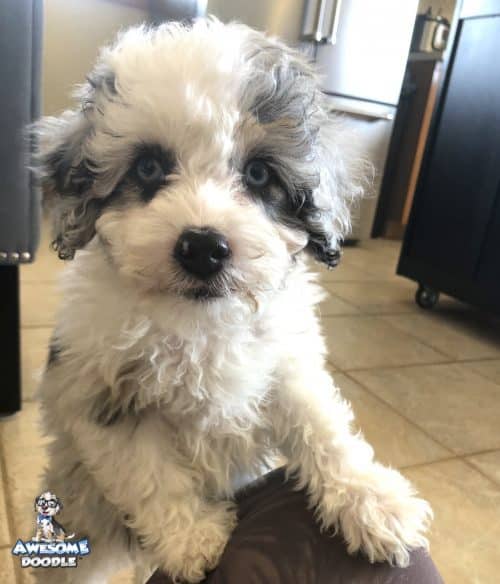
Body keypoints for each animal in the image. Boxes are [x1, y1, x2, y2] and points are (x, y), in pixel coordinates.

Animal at [33, 18, 432, 584]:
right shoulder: (99, 394)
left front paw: (372, 501)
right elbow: (148, 472)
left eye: (260, 174)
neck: (200, 323)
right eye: (148, 167)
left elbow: (324, 427)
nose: (203, 248)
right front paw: (192, 540)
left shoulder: (288, 364)